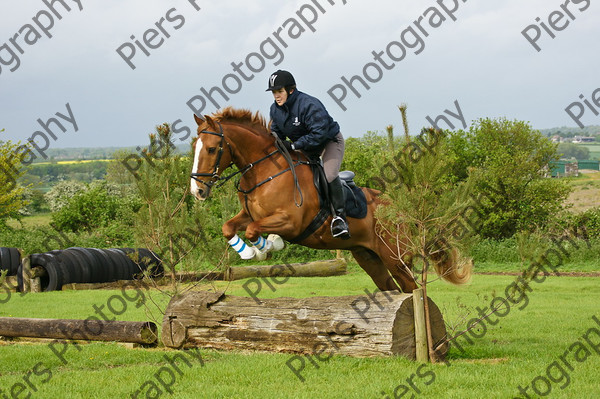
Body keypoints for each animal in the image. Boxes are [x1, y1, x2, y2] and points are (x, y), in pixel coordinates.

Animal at [191, 108, 468, 292]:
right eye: (194, 146)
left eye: (212, 149)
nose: (197, 191)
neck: (265, 171)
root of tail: (400, 209)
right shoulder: (250, 214)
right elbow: (229, 227)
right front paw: (250, 252)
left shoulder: (291, 222)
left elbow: (253, 230)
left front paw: (268, 245)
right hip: (369, 257)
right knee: (392, 288)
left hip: (395, 257)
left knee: (413, 289)